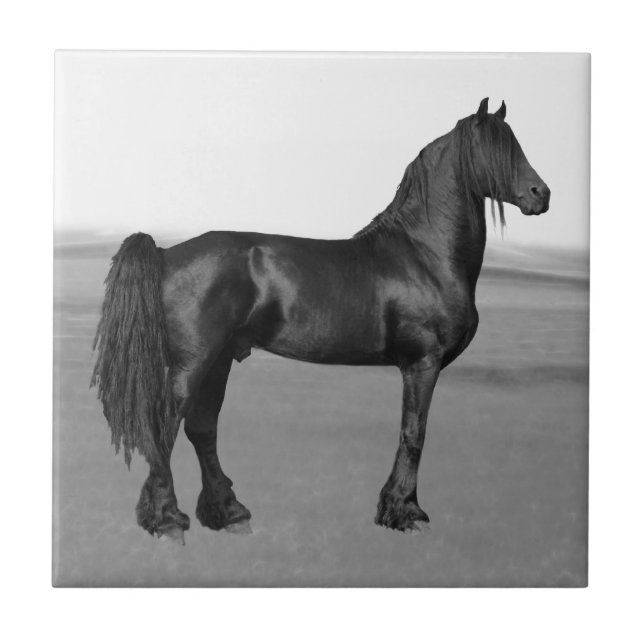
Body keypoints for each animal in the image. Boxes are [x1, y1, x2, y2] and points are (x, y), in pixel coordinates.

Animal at [91, 98, 550, 544]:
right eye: (494, 148)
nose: (541, 194)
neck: (422, 254)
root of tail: (166, 254)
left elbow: (410, 433)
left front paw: (393, 509)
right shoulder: (423, 364)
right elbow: (413, 434)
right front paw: (406, 514)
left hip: (218, 360)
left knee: (202, 428)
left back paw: (230, 514)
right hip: (193, 363)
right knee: (165, 428)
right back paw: (168, 521)